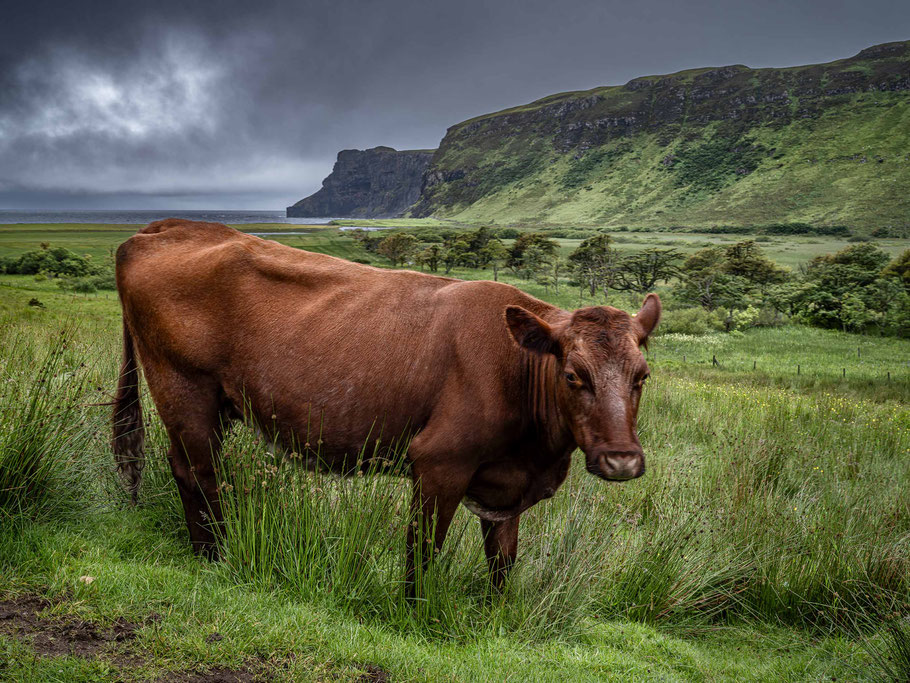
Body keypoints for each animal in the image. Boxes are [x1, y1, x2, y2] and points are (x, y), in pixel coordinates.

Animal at [112, 219, 660, 593]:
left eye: (643, 376)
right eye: (572, 375)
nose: (621, 460)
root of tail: (171, 227)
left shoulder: (504, 485)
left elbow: (502, 560)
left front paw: (494, 614)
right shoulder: (438, 462)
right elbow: (423, 550)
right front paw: (412, 610)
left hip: (218, 402)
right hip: (185, 390)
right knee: (196, 471)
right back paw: (214, 556)